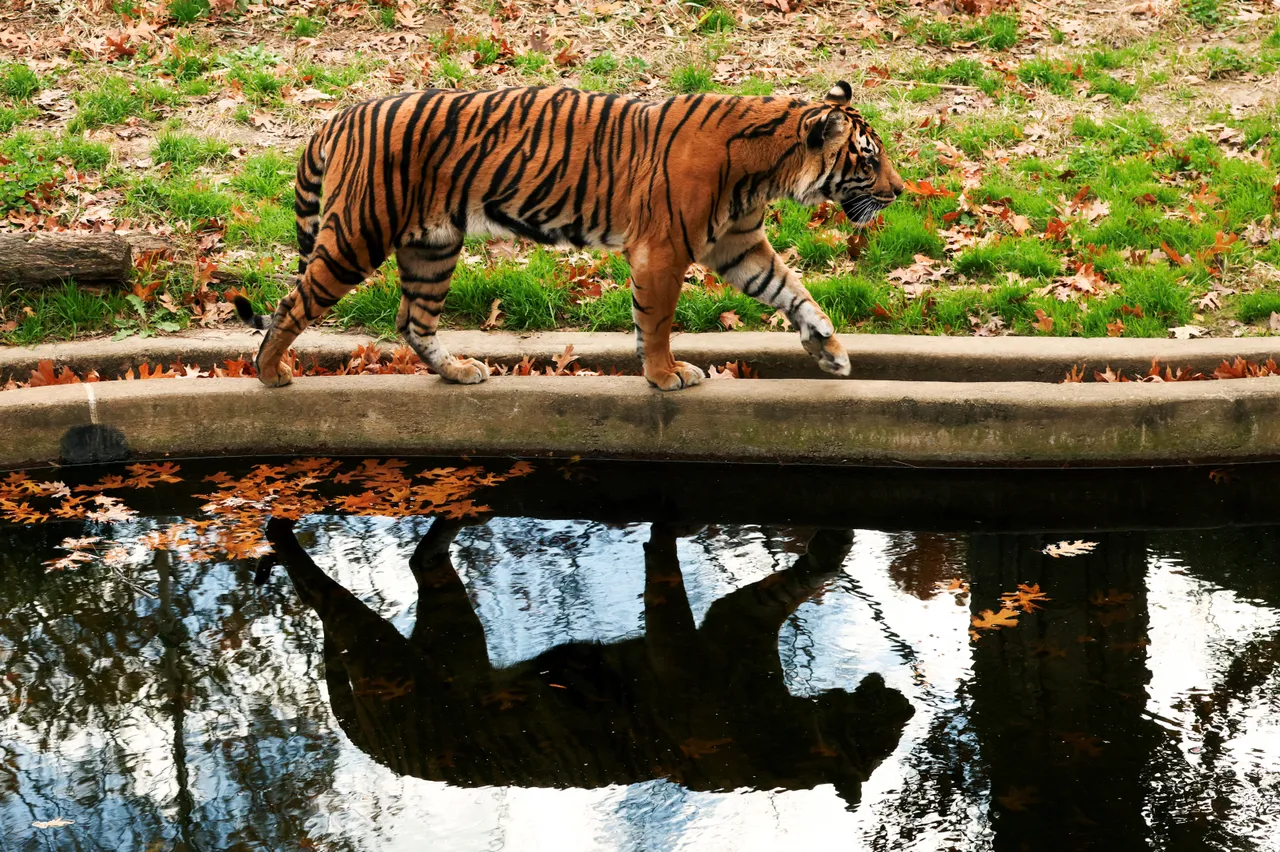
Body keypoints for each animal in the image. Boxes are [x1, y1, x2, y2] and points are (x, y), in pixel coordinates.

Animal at [234, 81, 904, 391]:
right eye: (869, 159)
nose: (900, 191)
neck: (768, 169)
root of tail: (339, 115)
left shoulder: (737, 245)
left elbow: (794, 291)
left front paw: (831, 351)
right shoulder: (664, 250)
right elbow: (656, 321)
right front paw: (664, 375)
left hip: (433, 246)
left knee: (412, 322)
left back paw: (459, 371)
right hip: (357, 234)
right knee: (292, 303)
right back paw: (271, 373)